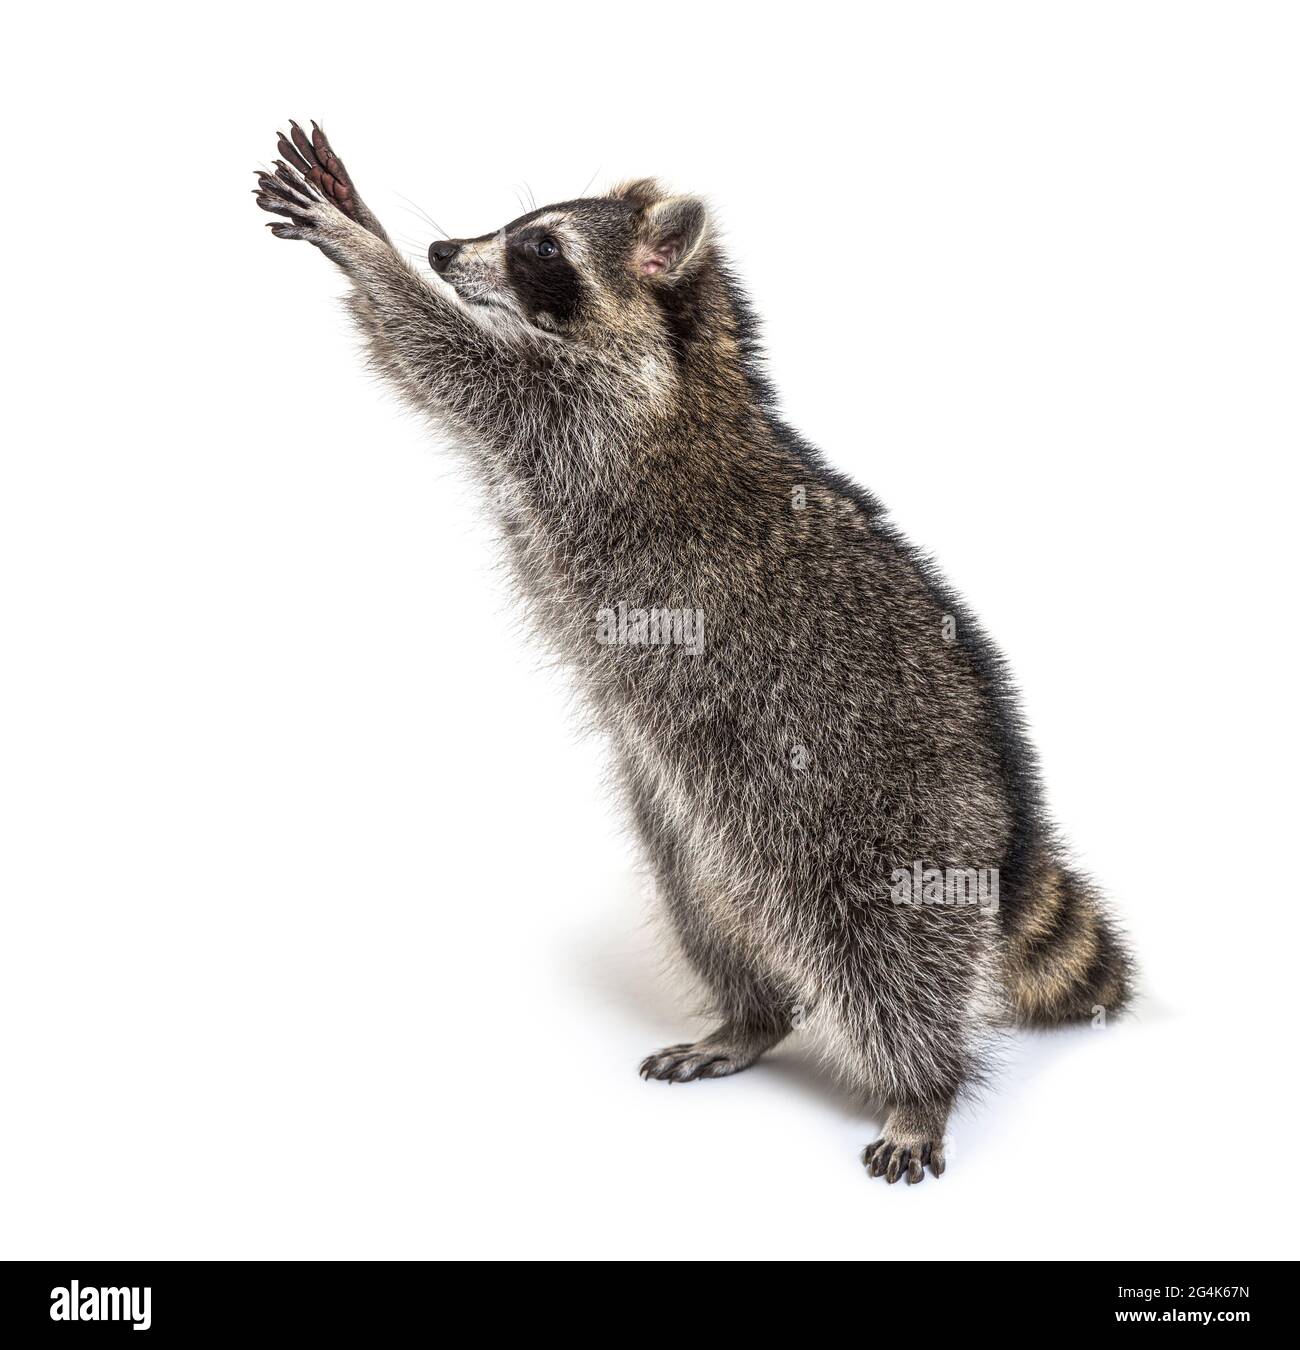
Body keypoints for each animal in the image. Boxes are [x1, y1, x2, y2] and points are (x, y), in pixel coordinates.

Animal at [251, 124, 1128, 1182]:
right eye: (516, 226)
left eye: (539, 246)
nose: (443, 250)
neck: (683, 353)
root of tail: (1008, 812)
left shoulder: (582, 421)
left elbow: (447, 358)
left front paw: (362, 242)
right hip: (699, 843)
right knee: (717, 926)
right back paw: (750, 1018)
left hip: (884, 826)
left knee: (890, 961)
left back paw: (922, 1087)